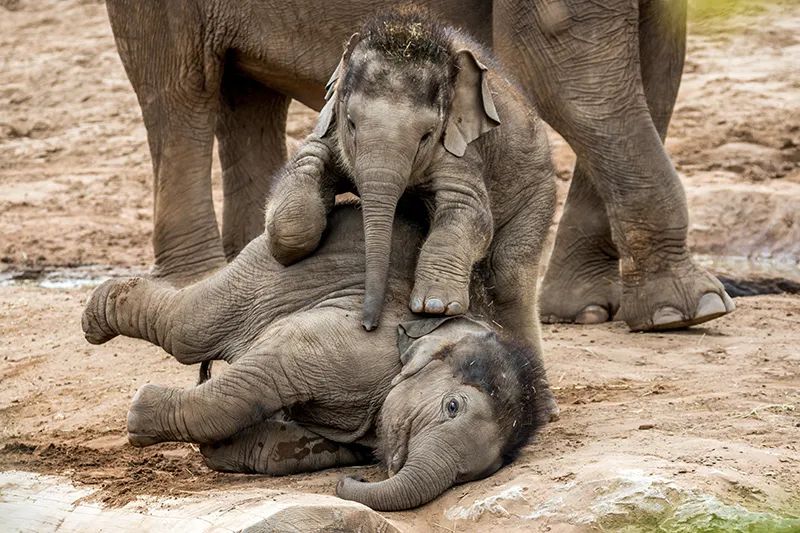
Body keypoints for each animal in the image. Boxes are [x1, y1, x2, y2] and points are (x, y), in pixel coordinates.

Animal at [81, 201, 552, 512]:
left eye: (472, 475)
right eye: (452, 406)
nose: (351, 482)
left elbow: (286, 446)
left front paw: (222, 449)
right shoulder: (352, 345)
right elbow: (255, 379)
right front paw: (140, 413)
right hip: (272, 264)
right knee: (189, 330)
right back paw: (97, 313)